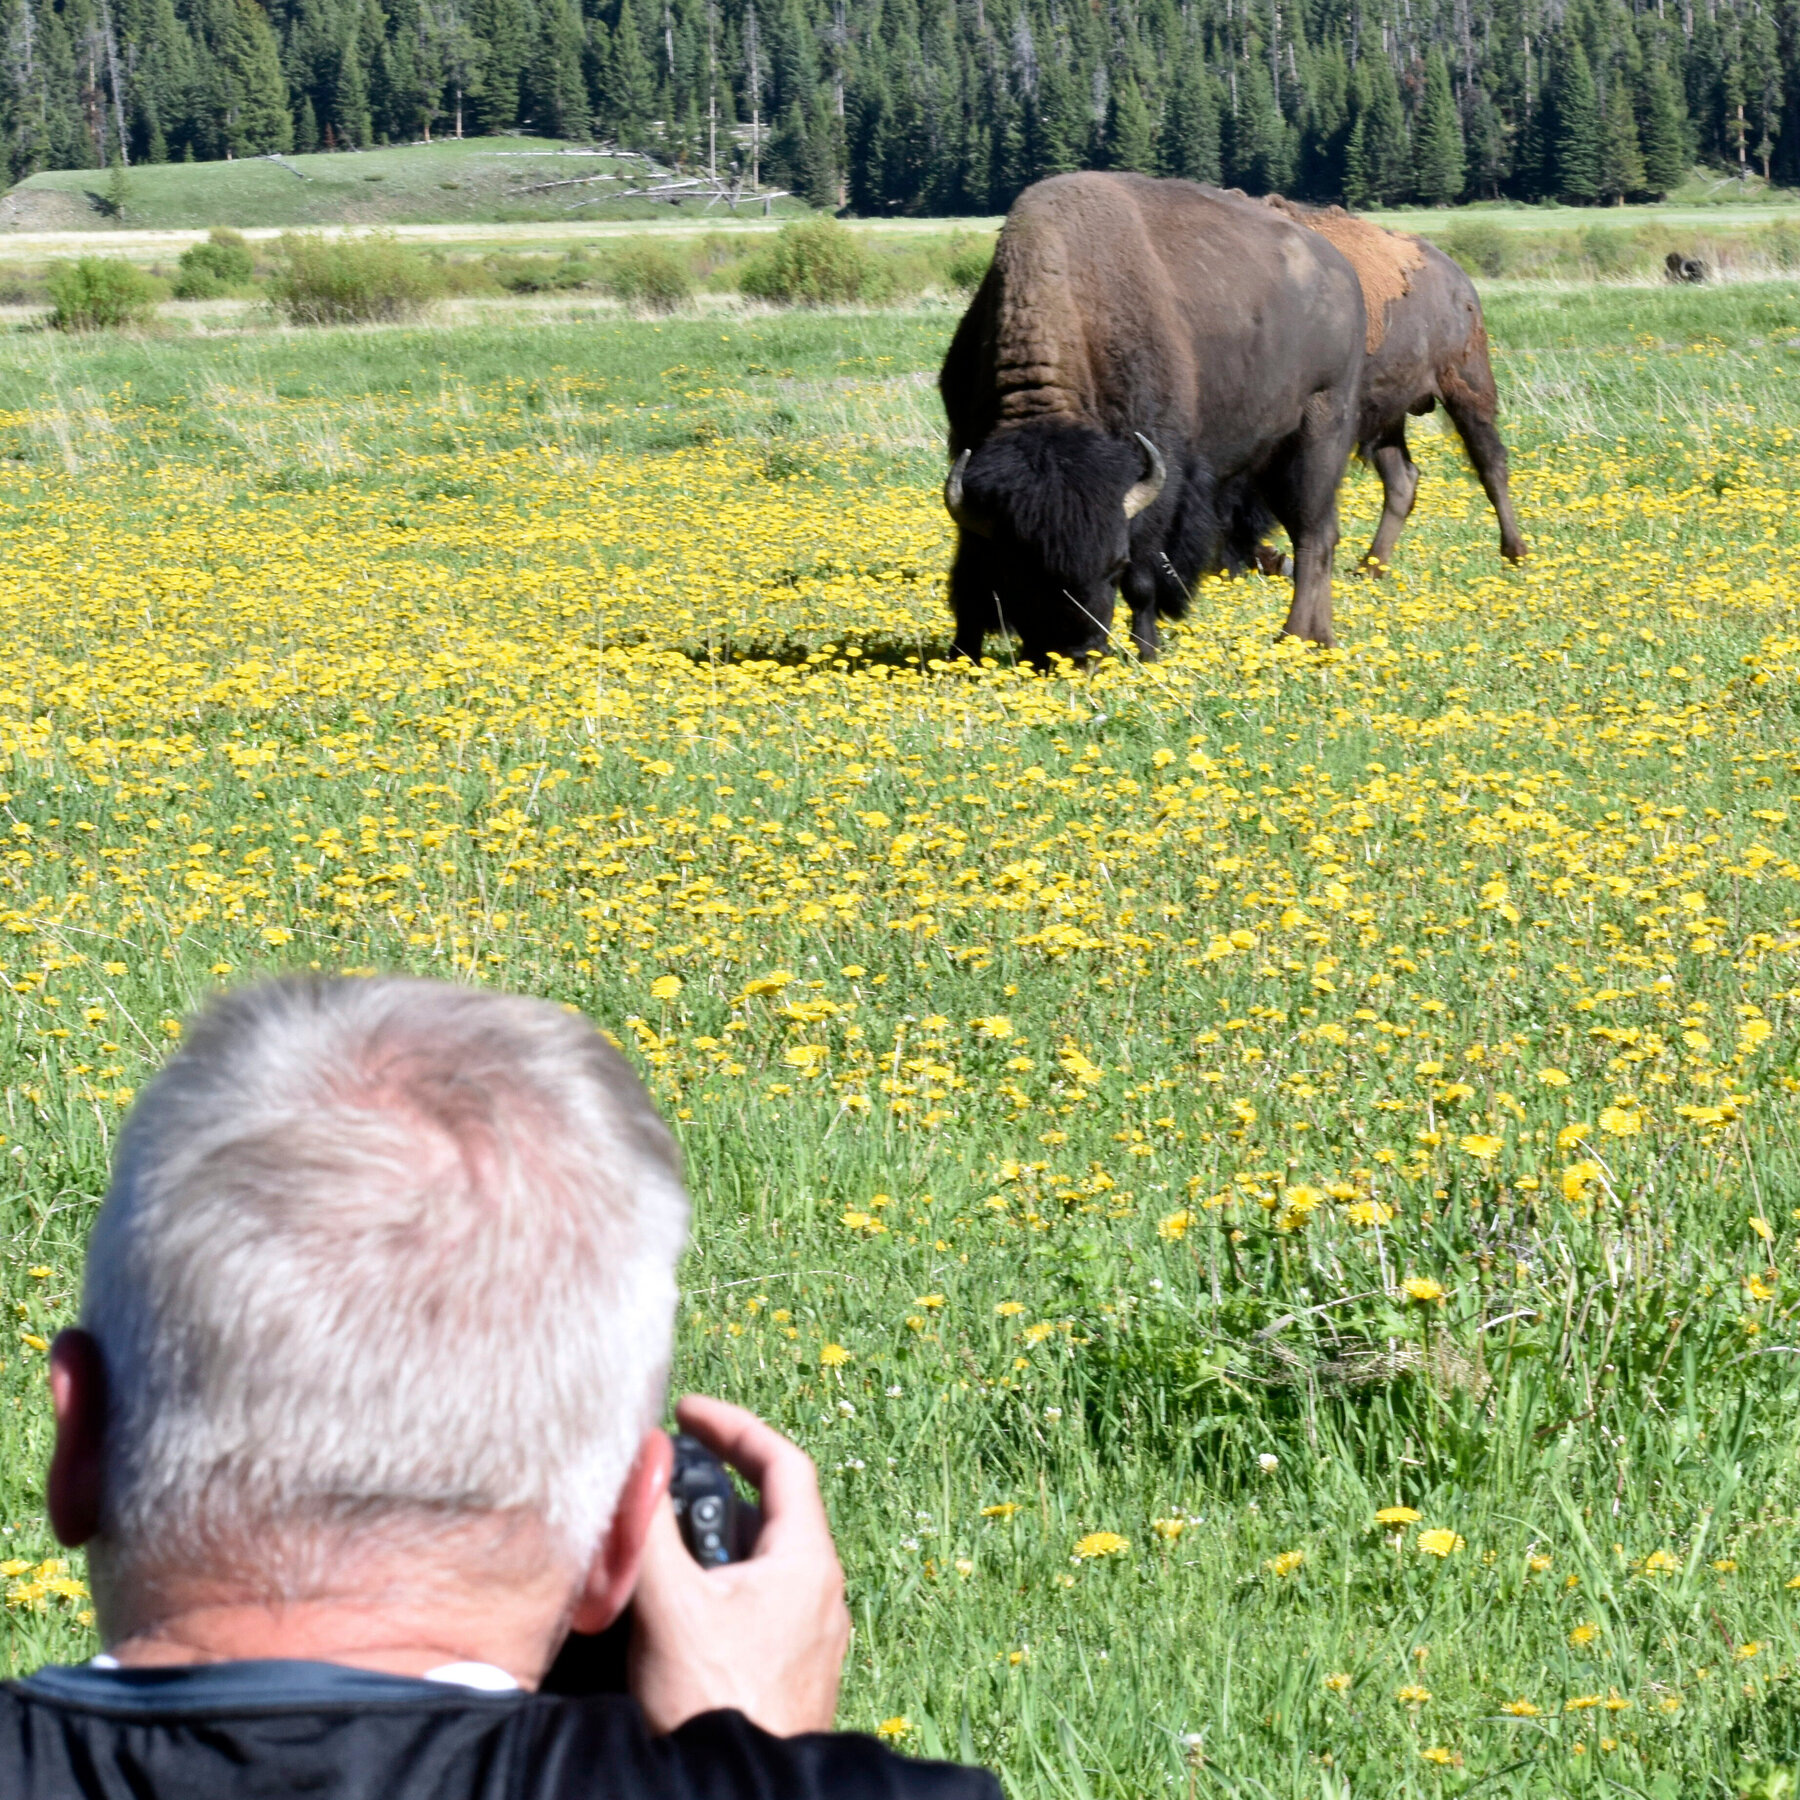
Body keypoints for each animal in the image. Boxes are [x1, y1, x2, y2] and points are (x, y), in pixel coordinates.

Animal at [938, 172, 1367, 661]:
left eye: (1115, 563)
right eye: (1022, 571)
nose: (1079, 653)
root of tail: (1342, 270)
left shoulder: (1156, 473)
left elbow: (1144, 578)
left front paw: (1147, 650)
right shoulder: (970, 465)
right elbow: (968, 574)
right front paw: (960, 654)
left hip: (1319, 435)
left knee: (1314, 535)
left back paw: (1300, 637)